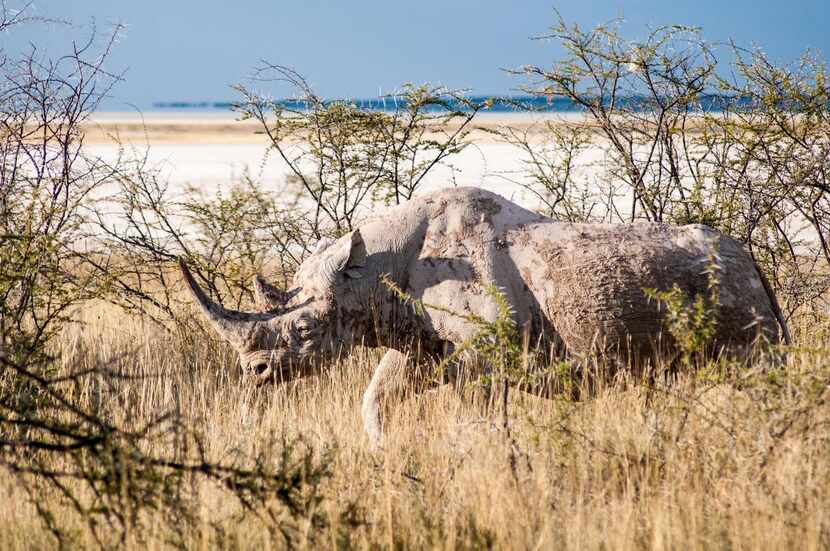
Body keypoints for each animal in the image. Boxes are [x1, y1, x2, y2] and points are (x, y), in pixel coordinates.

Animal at [182, 185, 792, 444]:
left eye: (306, 328)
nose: (254, 374)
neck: (369, 272)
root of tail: (753, 262)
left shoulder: (483, 353)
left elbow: (474, 418)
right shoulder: (420, 345)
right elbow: (376, 397)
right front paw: (383, 452)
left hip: (732, 292)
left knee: (754, 377)